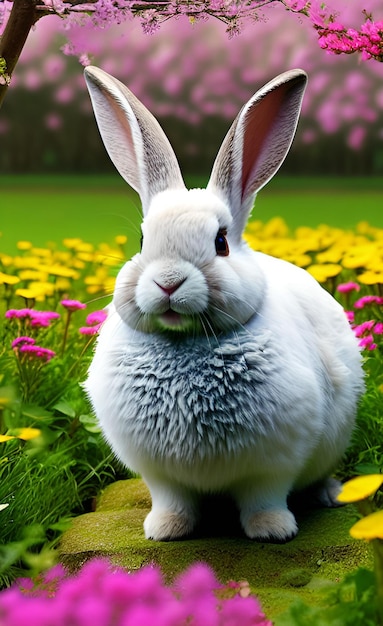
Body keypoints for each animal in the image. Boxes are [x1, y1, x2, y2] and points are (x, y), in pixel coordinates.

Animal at [85, 64, 366, 540]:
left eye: (221, 242)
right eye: (142, 241)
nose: (168, 281)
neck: (184, 341)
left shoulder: (273, 464)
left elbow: (264, 497)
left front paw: (272, 531)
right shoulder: (160, 474)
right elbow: (172, 499)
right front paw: (165, 530)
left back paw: (329, 494)